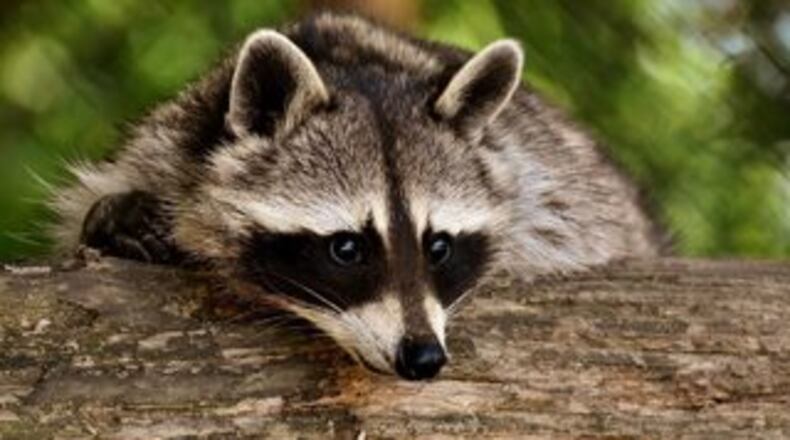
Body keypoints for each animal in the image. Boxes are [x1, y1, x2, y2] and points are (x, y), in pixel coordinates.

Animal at [52, 13, 660, 380]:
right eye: (346, 248)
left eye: (439, 246)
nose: (423, 357)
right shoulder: (164, 145)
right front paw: (118, 218)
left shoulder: (548, 184)